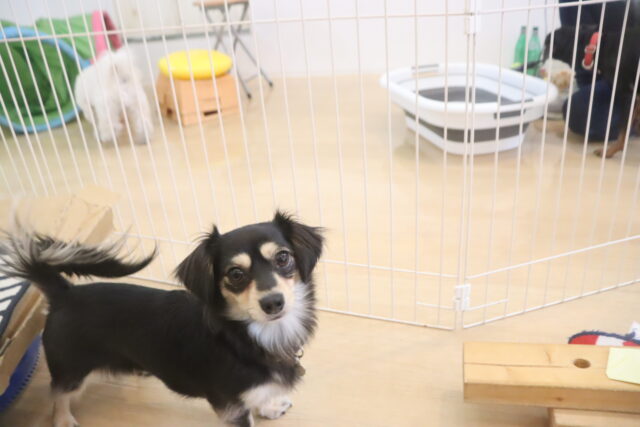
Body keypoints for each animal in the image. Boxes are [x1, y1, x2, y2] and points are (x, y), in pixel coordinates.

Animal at [0, 212, 323, 427]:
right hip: (72, 370)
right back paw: (64, 419)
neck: (249, 335)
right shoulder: (229, 406)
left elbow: (259, 397)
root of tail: (63, 293)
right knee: (58, 394)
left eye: (283, 258)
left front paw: (269, 406)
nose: (273, 302)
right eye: (235, 274)